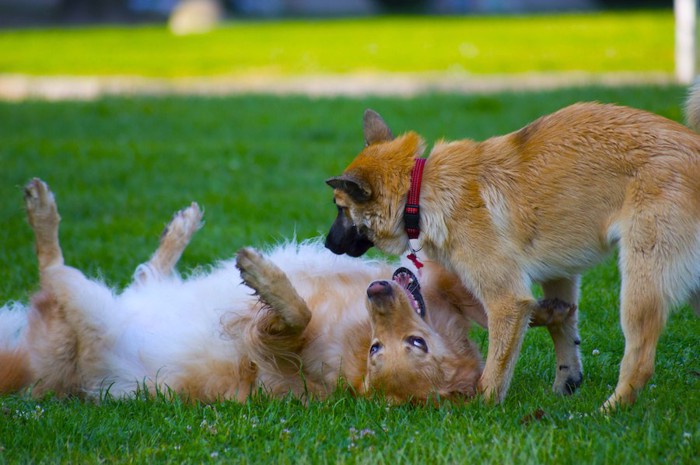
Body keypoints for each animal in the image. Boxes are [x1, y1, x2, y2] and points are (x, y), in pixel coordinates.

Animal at [326, 89, 700, 408]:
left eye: (340, 208)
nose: (327, 244)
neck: (418, 191)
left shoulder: (506, 299)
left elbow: (495, 365)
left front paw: (483, 407)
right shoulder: (559, 276)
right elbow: (562, 329)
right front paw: (566, 383)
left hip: (641, 284)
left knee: (641, 360)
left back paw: (610, 409)